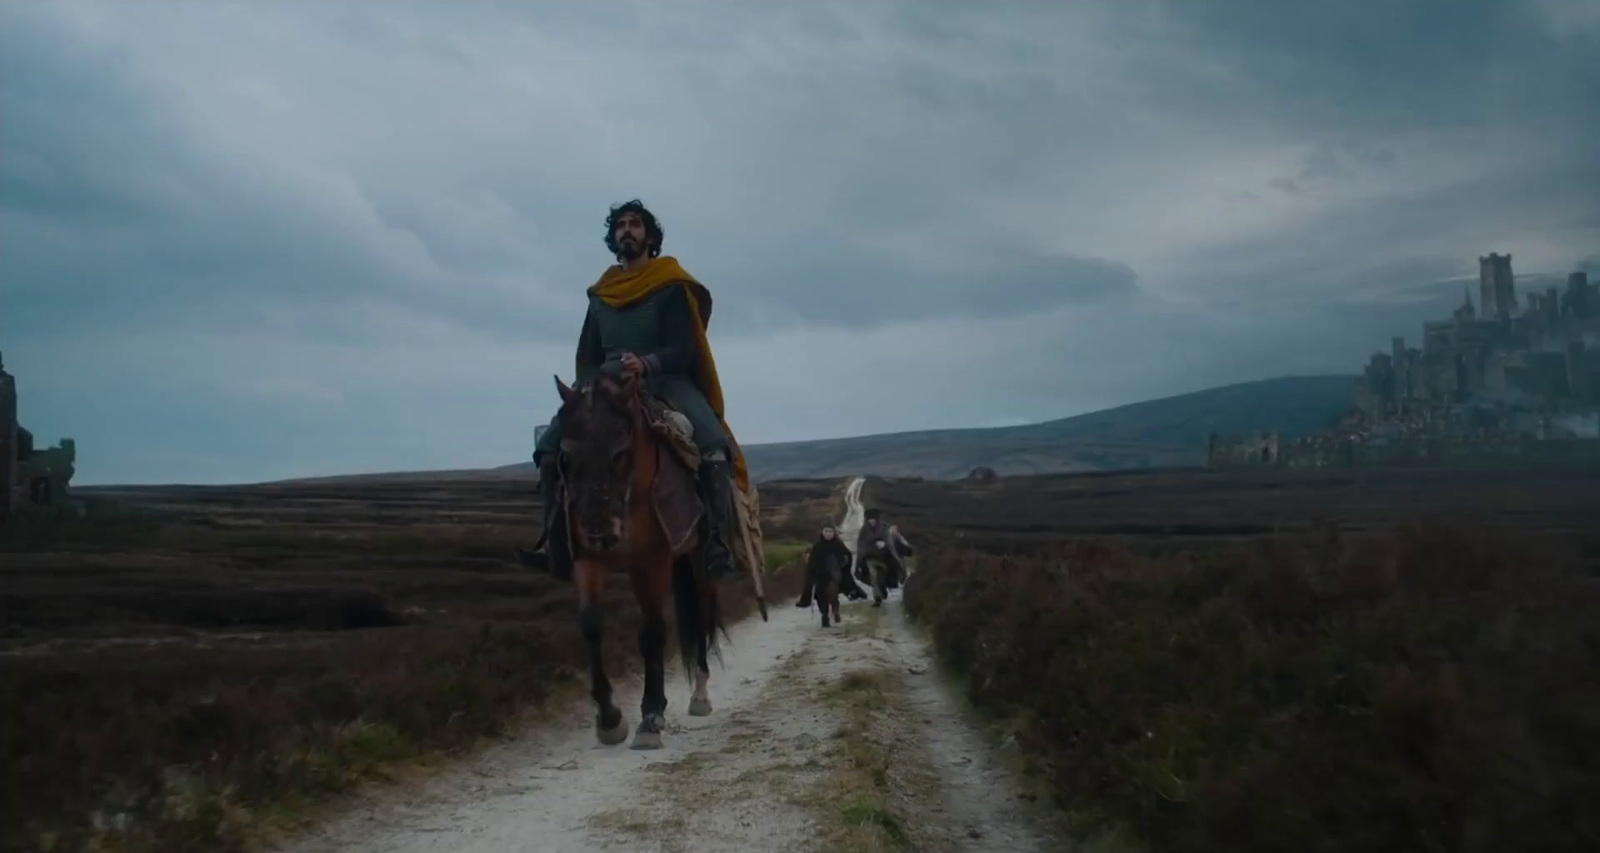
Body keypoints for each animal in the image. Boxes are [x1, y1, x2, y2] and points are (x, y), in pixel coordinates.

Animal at [553, 371, 723, 745]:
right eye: (566, 455)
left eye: (620, 452)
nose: (599, 529)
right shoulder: (587, 559)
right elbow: (591, 624)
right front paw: (610, 718)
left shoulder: (652, 562)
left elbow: (653, 632)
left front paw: (650, 716)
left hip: (697, 561)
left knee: (702, 616)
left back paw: (700, 695)